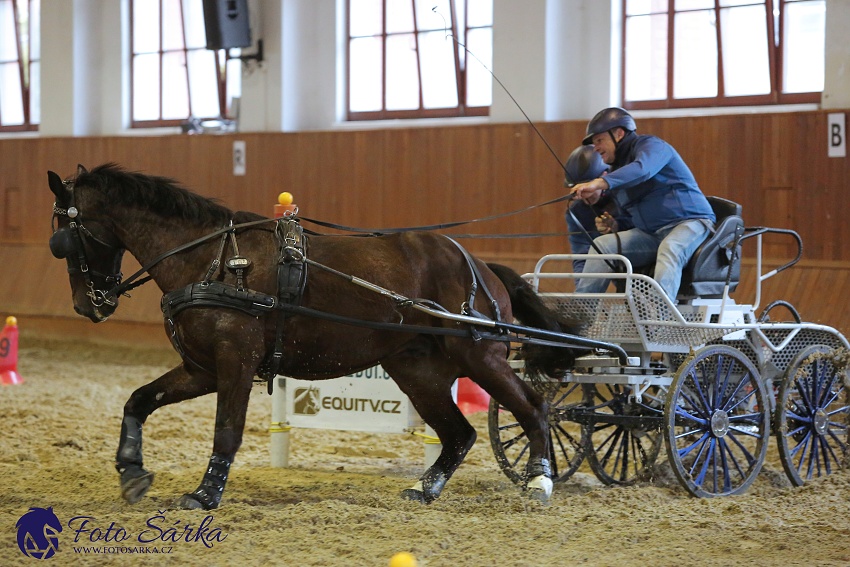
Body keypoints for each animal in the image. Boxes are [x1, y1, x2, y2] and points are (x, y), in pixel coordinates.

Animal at [48, 163, 584, 510]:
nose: (89, 305)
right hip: (418, 370)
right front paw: (132, 472)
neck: (213, 260)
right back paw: (425, 488)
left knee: (534, 408)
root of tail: (479, 264)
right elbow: (139, 400)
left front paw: (205, 493)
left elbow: (227, 429)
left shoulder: (235, 360)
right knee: (460, 433)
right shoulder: (201, 368)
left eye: (64, 239)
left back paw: (539, 481)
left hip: (481, 358)